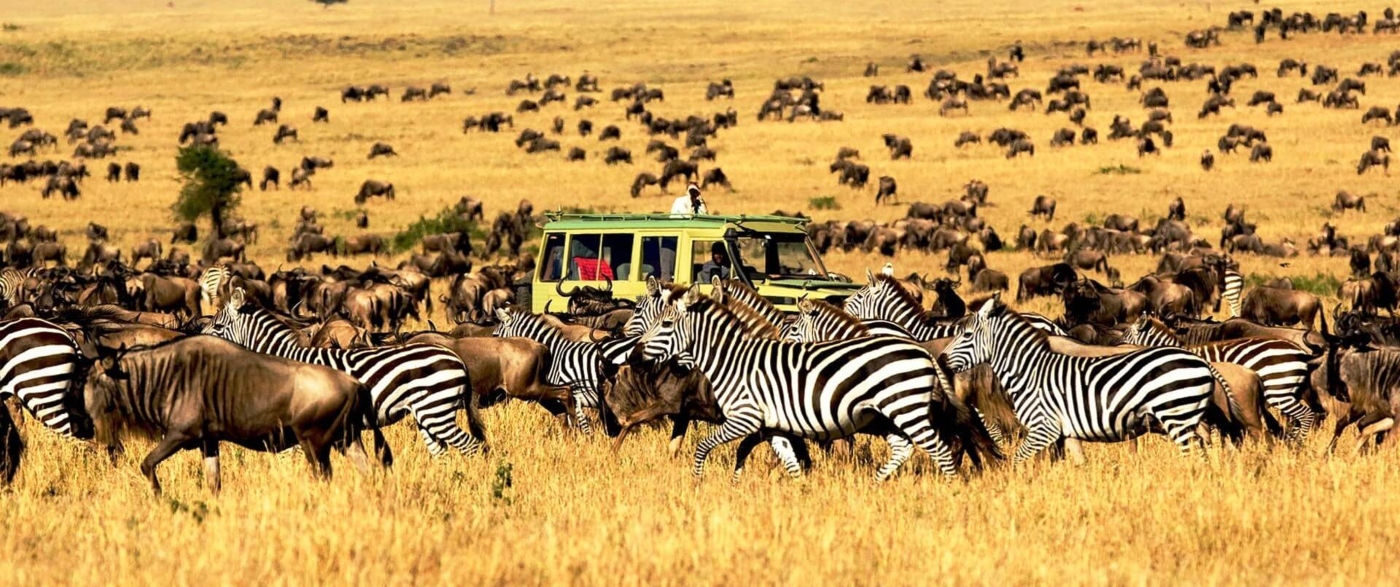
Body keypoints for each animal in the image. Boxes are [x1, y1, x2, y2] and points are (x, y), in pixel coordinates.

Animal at [200, 287, 487, 456]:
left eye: (218, 327)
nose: (197, 341)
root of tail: (456, 358)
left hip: (436, 409)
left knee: (472, 446)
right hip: (426, 413)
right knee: (442, 452)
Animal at [635, 285, 996, 481]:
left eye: (665, 324)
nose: (636, 356)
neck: (733, 360)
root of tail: (921, 349)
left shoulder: (746, 418)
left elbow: (704, 446)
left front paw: (697, 483)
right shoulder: (774, 424)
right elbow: (790, 462)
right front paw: (800, 491)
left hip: (904, 407)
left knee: (941, 448)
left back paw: (950, 487)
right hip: (891, 413)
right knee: (907, 447)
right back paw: (875, 484)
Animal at [940, 294, 1226, 465]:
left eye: (966, 335)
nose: (940, 358)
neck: (1030, 371)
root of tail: (1200, 361)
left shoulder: (1043, 428)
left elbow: (1019, 460)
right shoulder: (1066, 430)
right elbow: (1079, 463)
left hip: (1177, 416)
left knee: (1194, 454)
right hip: (1190, 417)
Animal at [1120, 316, 1316, 442]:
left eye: (1124, 336)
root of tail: (1300, 351)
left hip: (1279, 391)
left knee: (1306, 415)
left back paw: (1299, 444)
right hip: (1292, 392)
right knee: (1297, 420)